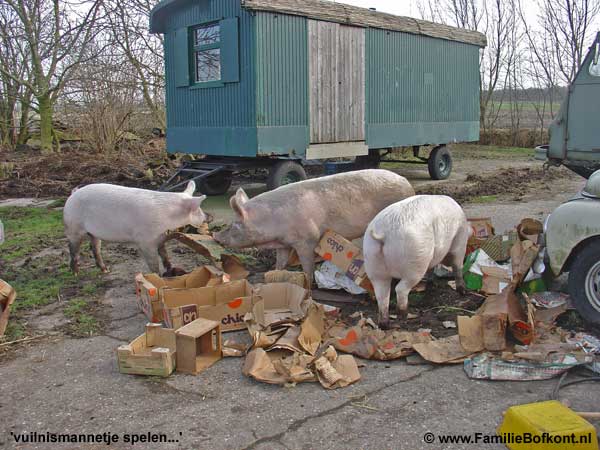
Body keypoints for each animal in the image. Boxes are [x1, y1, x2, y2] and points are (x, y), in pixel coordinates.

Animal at [63, 181, 207, 275]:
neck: (167, 218)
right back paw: (75, 273)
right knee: (73, 250)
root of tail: (73, 194)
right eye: (197, 211)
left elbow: (165, 255)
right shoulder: (145, 241)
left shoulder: (160, 238)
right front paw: (158, 277)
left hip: (93, 233)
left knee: (95, 249)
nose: (205, 218)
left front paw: (170, 268)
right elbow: (153, 262)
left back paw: (105, 270)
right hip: (73, 227)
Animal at [214, 169, 415, 284]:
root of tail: (408, 184)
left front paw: (309, 284)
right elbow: (281, 263)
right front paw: (275, 276)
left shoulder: (307, 239)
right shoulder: (284, 243)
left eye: (235, 224)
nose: (216, 237)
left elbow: (307, 266)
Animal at [363, 195, 470, 329]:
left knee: (382, 295)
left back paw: (384, 325)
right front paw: (463, 291)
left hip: (373, 263)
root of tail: (383, 234)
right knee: (400, 289)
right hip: (415, 260)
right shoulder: (460, 238)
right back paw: (405, 316)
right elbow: (457, 265)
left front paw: (432, 282)